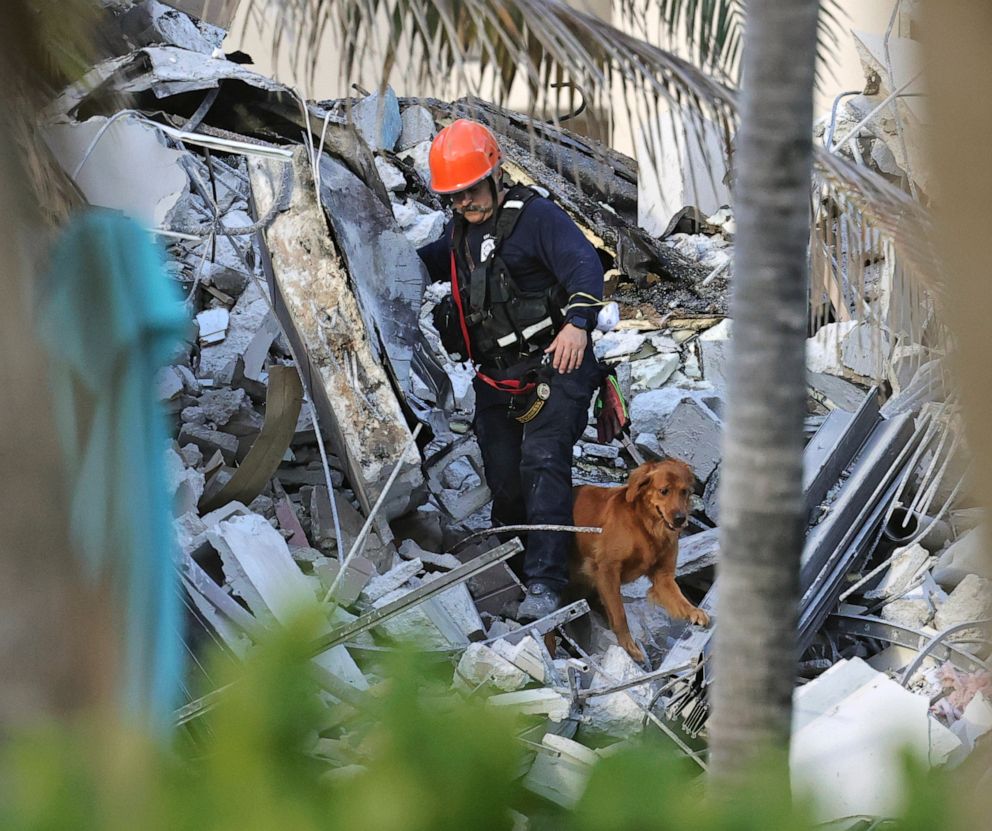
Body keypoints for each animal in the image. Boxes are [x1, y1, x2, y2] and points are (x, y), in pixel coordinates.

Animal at [568, 456, 708, 664]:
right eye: (664, 491)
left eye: (684, 491)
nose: (680, 519)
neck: (646, 526)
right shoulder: (607, 569)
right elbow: (619, 614)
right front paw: (629, 646)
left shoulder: (663, 577)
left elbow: (680, 599)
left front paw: (694, 611)